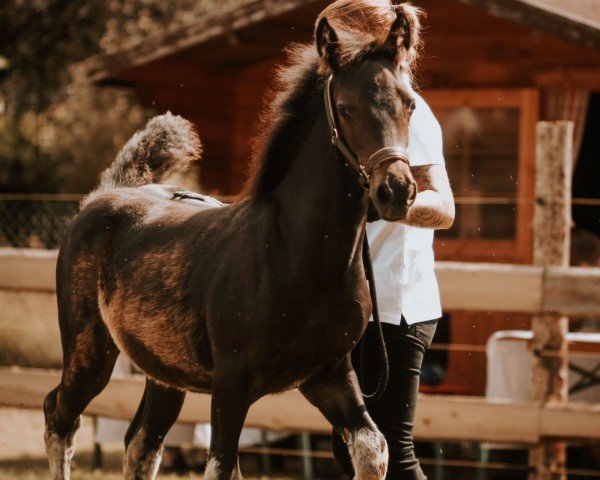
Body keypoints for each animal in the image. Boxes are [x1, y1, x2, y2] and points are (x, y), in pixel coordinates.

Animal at [44, 4, 420, 480]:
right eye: (346, 109)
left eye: (410, 104)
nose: (397, 191)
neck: (296, 256)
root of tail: (101, 195)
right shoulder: (231, 384)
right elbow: (222, 465)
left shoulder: (330, 374)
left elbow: (373, 448)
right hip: (88, 351)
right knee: (60, 415)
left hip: (165, 372)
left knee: (141, 443)